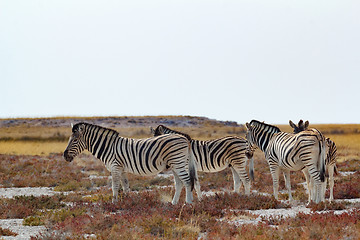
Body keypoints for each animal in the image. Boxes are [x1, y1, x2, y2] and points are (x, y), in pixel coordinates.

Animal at [63, 122, 195, 204]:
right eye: (69, 139)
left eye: (75, 140)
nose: (64, 156)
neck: (108, 147)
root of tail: (184, 138)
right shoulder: (122, 169)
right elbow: (126, 187)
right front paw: (128, 202)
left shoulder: (115, 167)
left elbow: (115, 186)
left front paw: (114, 203)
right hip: (175, 164)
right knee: (179, 183)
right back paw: (174, 203)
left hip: (178, 162)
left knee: (187, 181)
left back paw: (188, 203)